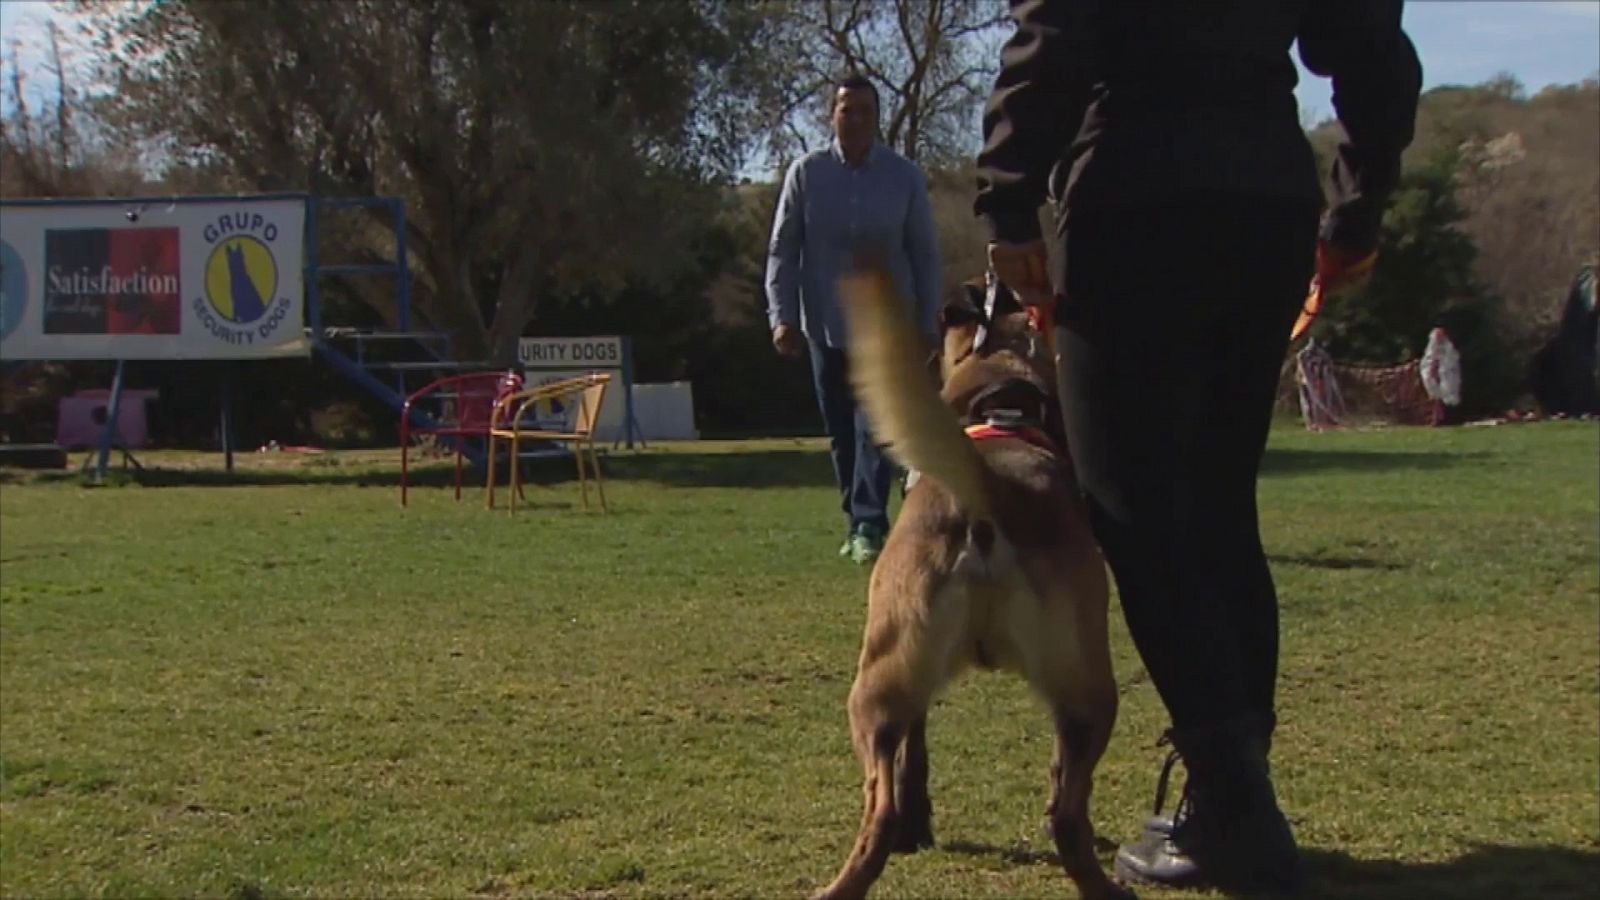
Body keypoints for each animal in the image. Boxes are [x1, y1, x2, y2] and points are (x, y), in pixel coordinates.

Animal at [812, 265, 1139, 896]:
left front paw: (917, 823)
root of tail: (991, 489)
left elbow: (914, 758)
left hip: (876, 687)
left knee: (878, 809)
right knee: (1068, 812)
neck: (1002, 396)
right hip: (1089, 693)